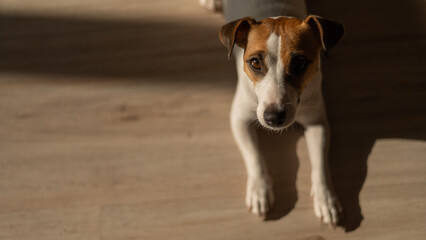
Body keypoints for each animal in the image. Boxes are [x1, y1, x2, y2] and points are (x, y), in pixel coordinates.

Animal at [201, 0, 344, 226]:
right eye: (255, 62)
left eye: (300, 63)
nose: (273, 118)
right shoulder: (239, 119)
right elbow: (254, 155)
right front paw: (260, 190)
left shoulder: (317, 122)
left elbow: (320, 162)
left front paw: (326, 198)